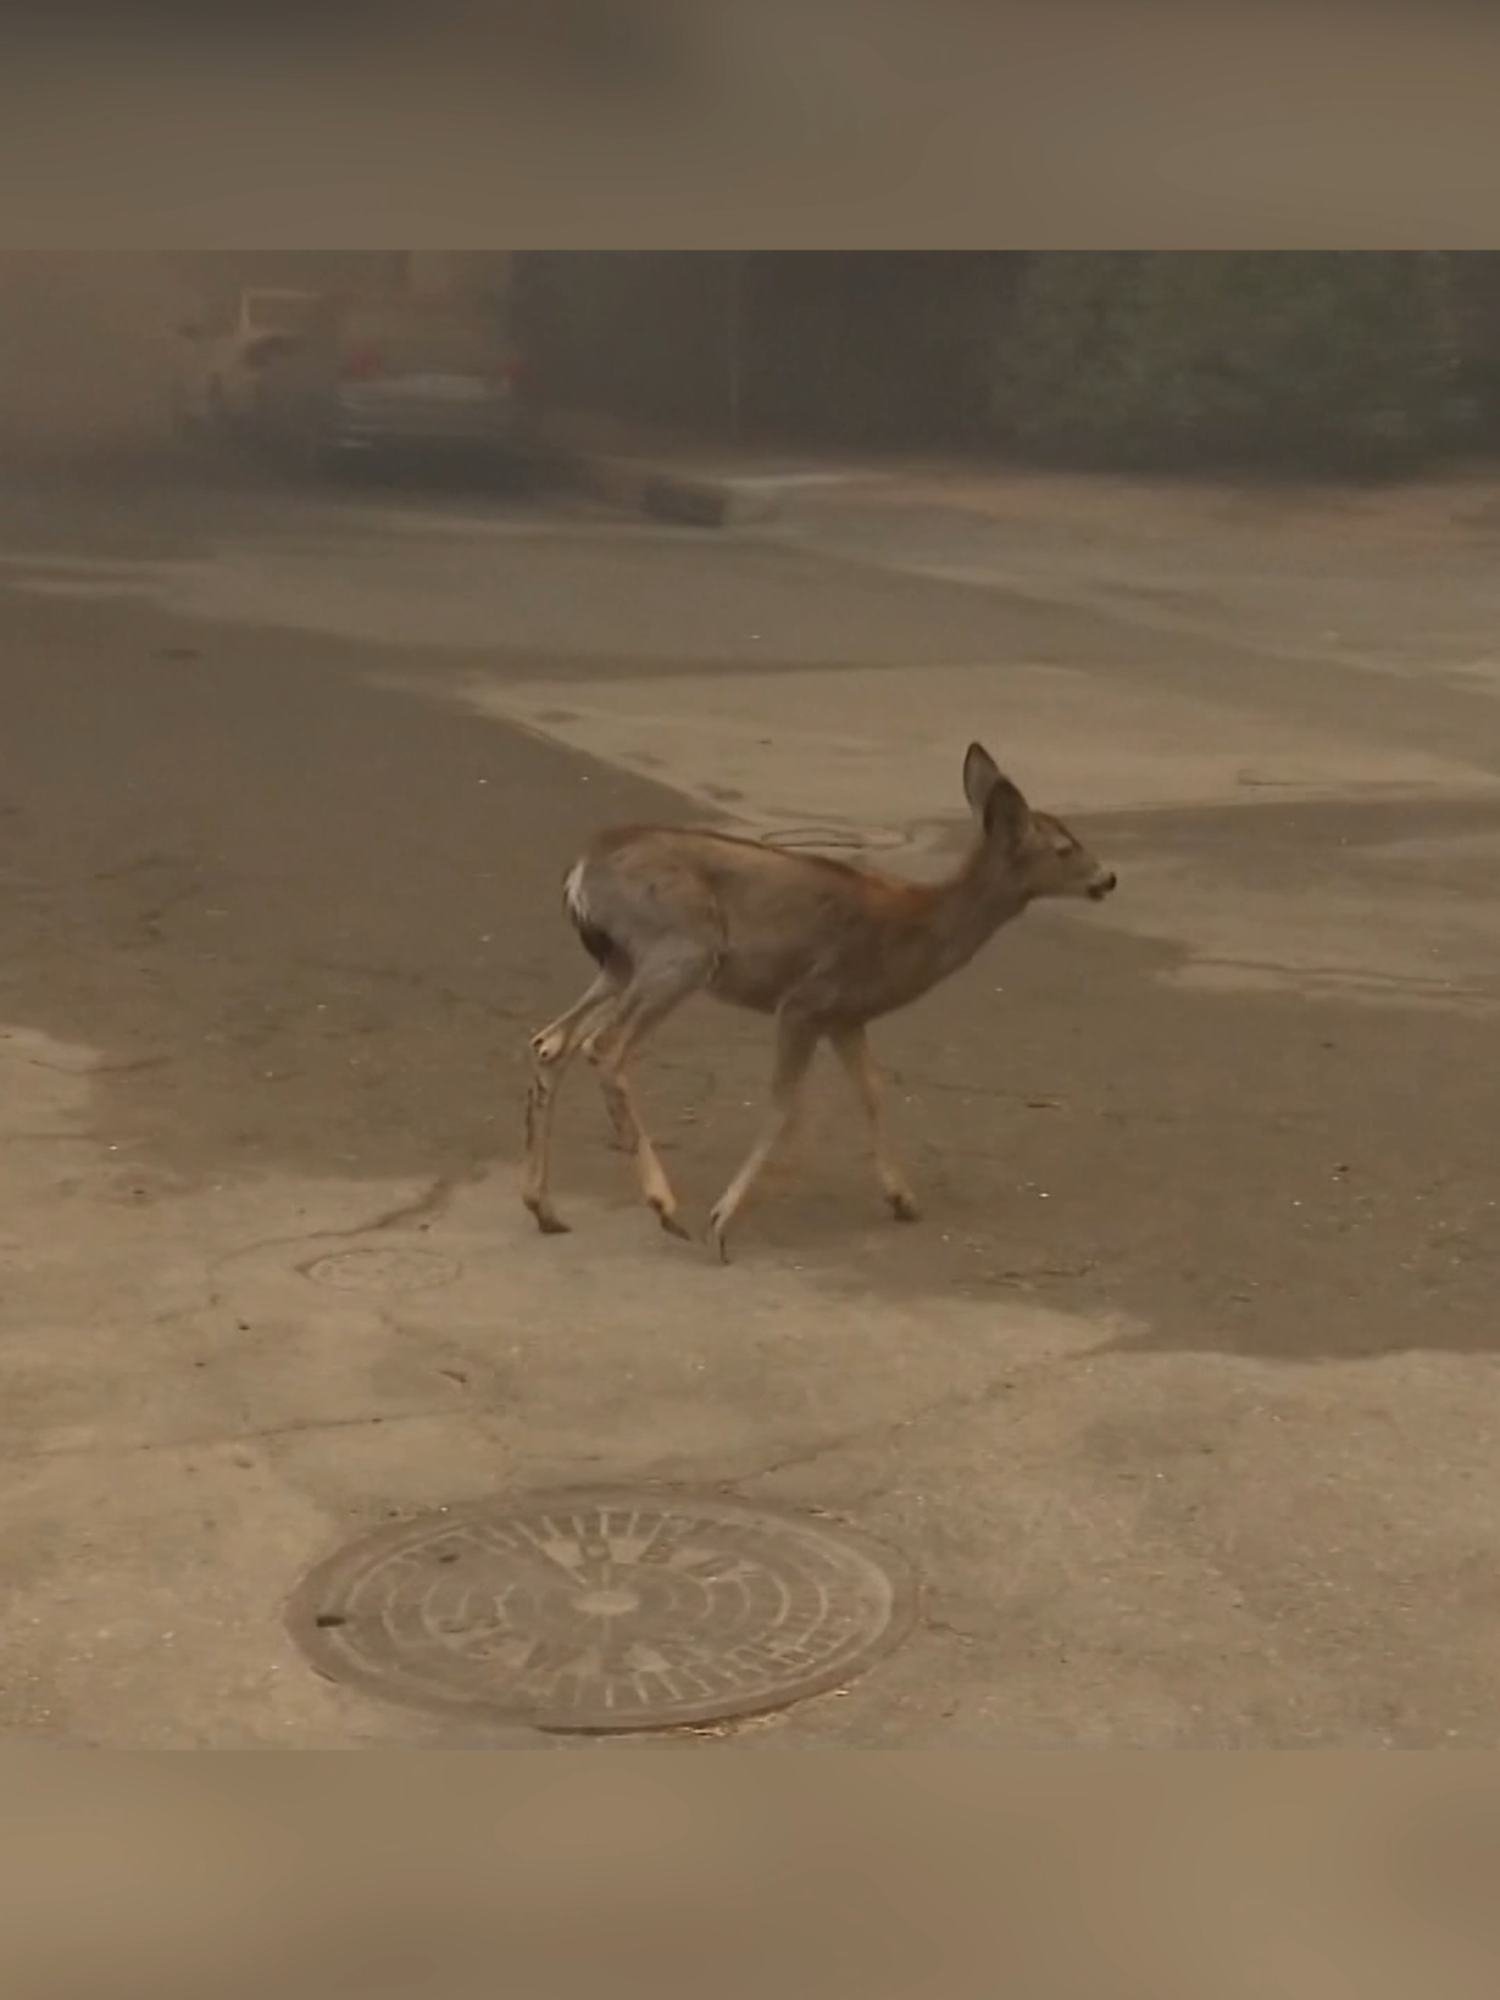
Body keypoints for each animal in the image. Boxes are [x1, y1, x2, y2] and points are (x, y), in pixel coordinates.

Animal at [516, 744, 1120, 1256]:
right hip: (679, 948)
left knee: (551, 1041)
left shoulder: (846, 1014)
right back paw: (665, 1206)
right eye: (1064, 848)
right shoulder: (807, 999)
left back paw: (544, 1208)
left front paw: (903, 1198)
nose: (1109, 878)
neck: (911, 934)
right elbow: (787, 1104)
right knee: (603, 1046)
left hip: (620, 962)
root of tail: (580, 869)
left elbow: (872, 1090)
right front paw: (722, 1222)